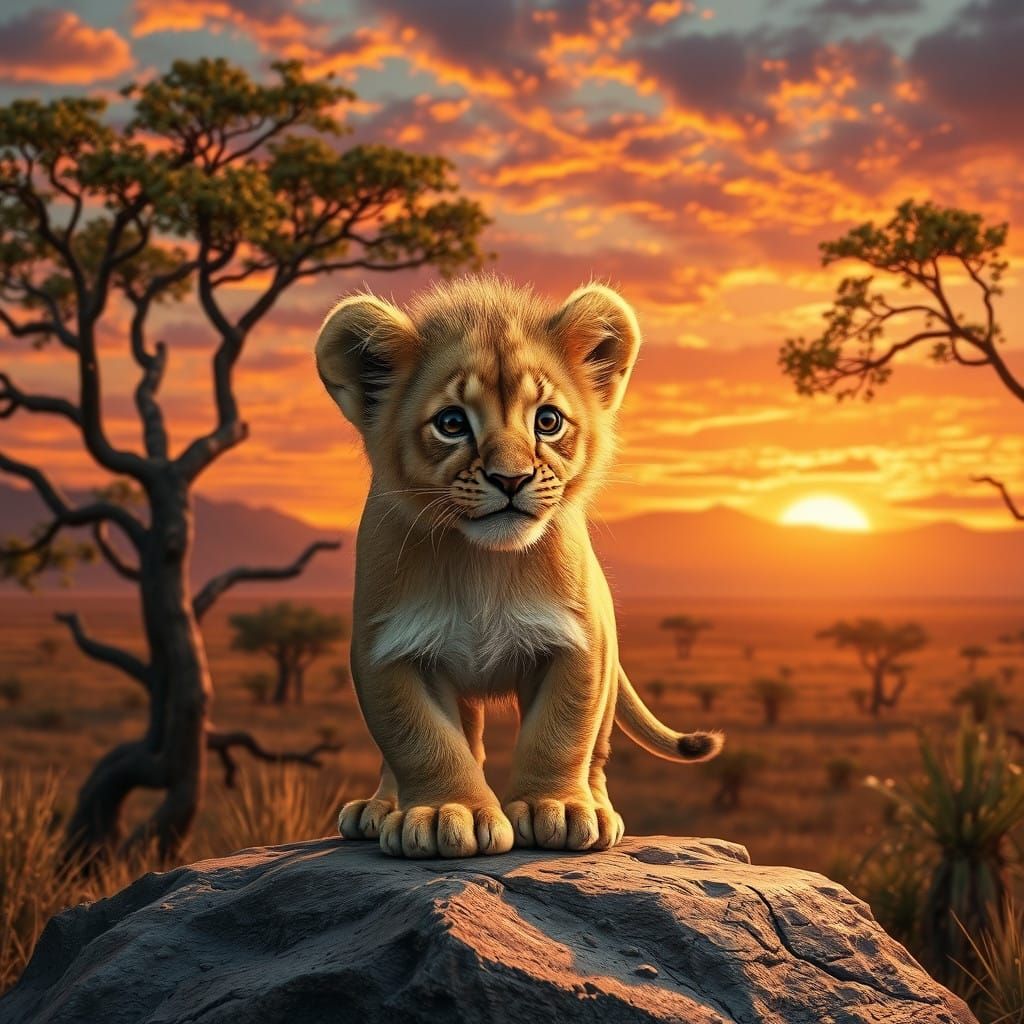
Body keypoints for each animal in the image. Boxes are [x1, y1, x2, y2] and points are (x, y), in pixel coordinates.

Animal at [315, 275, 722, 858]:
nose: (511, 479)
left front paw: (556, 808)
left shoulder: (579, 641)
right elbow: (419, 739)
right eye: (452, 423)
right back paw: (380, 808)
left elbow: (560, 731)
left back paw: (597, 806)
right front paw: (447, 813)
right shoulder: (386, 648)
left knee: (596, 748)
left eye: (547, 421)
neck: (483, 564)